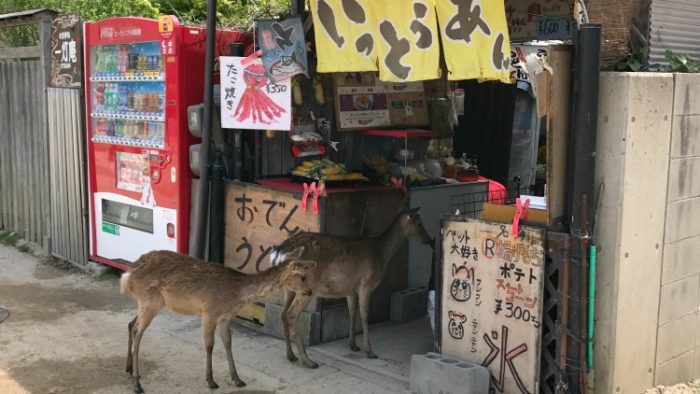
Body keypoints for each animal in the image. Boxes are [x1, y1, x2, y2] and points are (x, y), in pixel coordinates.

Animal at [120, 249, 314, 394]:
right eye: (302, 276)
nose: (310, 292)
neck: (236, 295)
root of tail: (127, 276)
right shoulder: (209, 312)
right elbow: (209, 346)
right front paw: (211, 381)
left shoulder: (225, 318)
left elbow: (228, 343)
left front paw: (237, 379)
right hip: (149, 301)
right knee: (138, 331)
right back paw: (137, 383)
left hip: (150, 303)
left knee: (131, 324)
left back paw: (129, 369)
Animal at [270, 205, 434, 368]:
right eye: (419, 223)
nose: (430, 240)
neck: (380, 253)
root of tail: (281, 252)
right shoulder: (366, 284)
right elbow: (365, 315)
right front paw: (370, 351)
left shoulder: (350, 290)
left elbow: (351, 312)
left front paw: (353, 345)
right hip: (307, 286)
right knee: (291, 315)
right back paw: (308, 361)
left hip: (288, 288)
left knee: (282, 314)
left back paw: (291, 355)